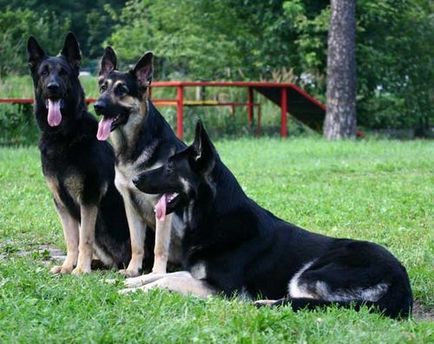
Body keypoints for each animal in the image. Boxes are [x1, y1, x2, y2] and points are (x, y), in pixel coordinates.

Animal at [26, 33, 132, 274]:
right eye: (44, 72)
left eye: (63, 72)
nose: (53, 87)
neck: (63, 135)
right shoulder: (61, 203)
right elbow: (72, 239)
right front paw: (68, 266)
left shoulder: (88, 199)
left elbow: (84, 238)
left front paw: (81, 270)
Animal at [93, 47, 185, 276]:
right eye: (103, 87)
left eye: (122, 90)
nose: (97, 106)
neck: (132, 147)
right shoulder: (130, 206)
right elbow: (137, 244)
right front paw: (133, 270)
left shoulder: (162, 207)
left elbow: (160, 245)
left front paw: (157, 273)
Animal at [125, 121, 414, 320]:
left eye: (170, 168)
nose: (134, 180)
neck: (213, 215)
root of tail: (401, 281)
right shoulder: (196, 275)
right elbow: (160, 275)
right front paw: (126, 282)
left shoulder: (222, 289)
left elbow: (165, 281)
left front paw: (129, 292)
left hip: (307, 276)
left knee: (316, 304)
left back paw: (266, 304)